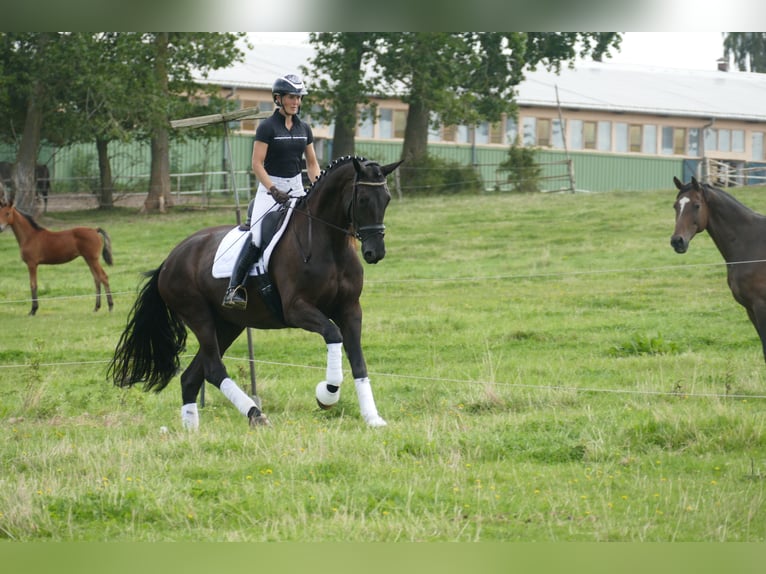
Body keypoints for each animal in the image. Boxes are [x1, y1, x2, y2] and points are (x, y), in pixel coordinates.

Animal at [110, 155, 404, 430]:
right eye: (363, 199)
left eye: (387, 199)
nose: (375, 252)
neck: (330, 245)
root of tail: (170, 259)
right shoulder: (296, 309)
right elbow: (334, 334)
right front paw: (327, 394)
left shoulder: (350, 309)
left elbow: (358, 361)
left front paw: (372, 418)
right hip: (198, 315)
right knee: (213, 369)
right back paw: (256, 414)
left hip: (227, 325)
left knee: (192, 376)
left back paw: (191, 431)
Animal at [668, 178, 766, 362]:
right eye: (676, 205)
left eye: (697, 205)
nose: (677, 241)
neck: (751, 243)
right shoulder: (750, 309)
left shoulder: (760, 306)